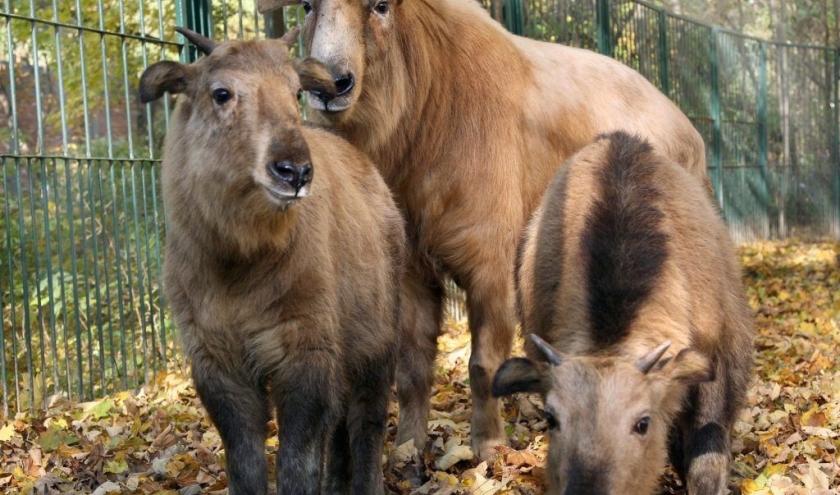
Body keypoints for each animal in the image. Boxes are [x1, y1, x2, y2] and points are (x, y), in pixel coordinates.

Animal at [139, 29, 406, 495]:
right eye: (221, 93)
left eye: (295, 91)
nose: (294, 172)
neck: (237, 265)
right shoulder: (217, 361)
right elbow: (245, 461)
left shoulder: (305, 351)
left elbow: (297, 461)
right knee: (341, 427)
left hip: (378, 344)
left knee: (366, 424)